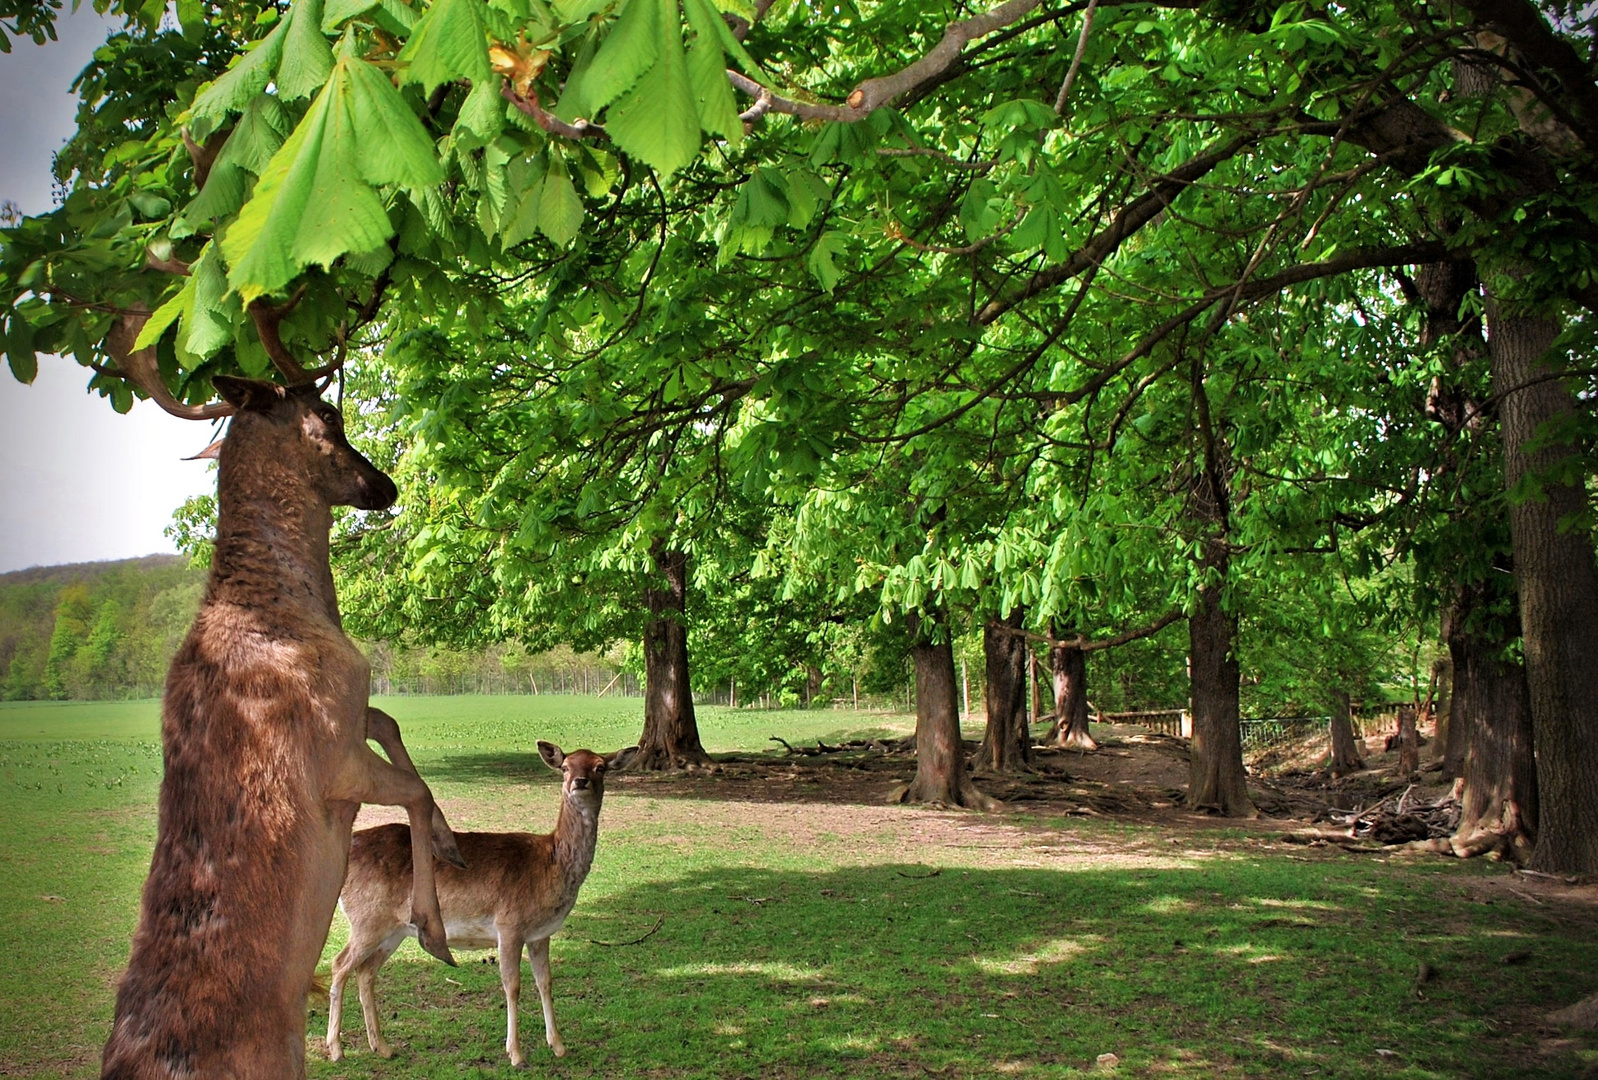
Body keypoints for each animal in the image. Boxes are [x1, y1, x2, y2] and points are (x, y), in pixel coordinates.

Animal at [99, 303, 466, 1080]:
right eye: (328, 413)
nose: (385, 486)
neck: (303, 617)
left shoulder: (352, 712)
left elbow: (389, 722)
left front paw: (453, 846)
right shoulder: (332, 763)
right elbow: (415, 790)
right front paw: (433, 929)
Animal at [325, 738, 616, 1067]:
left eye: (601, 767)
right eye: (565, 766)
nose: (580, 782)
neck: (550, 865)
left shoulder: (541, 934)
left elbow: (546, 982)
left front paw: (559, 1046)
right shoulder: (509, 925)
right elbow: (512, 985)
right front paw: (516, 1054)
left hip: (393, 930)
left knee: (366, 971)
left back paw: (383, 1047)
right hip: (367, 920)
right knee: (339, 964)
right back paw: (336, 1049)